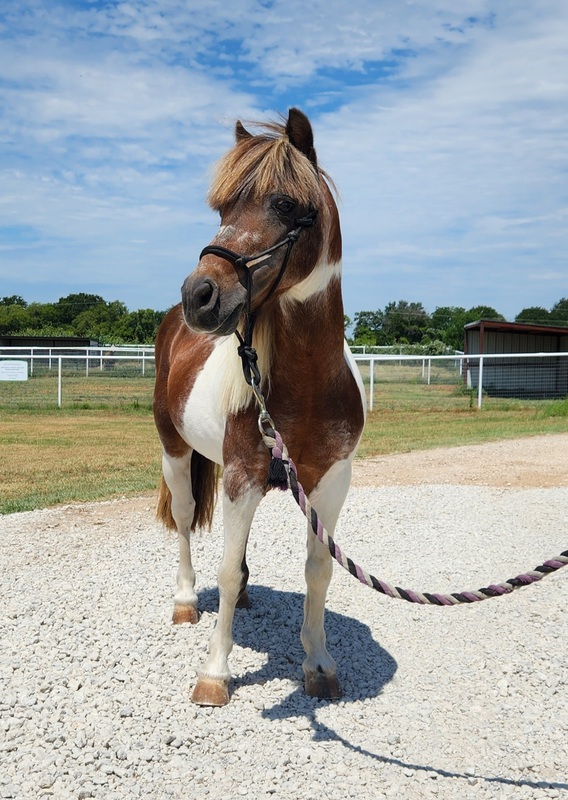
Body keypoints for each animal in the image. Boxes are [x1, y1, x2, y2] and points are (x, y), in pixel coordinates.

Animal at [153, 108, 366, 708]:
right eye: (222, 209)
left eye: (285, 204)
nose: (199, 295)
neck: (308, 386)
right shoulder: (243, 474)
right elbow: (223, 570)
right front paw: (215, 673)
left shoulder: (329, 481)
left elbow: (318, 571)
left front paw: (319, 664)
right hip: (175, 452)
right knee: (184, 521)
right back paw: (185, 601)